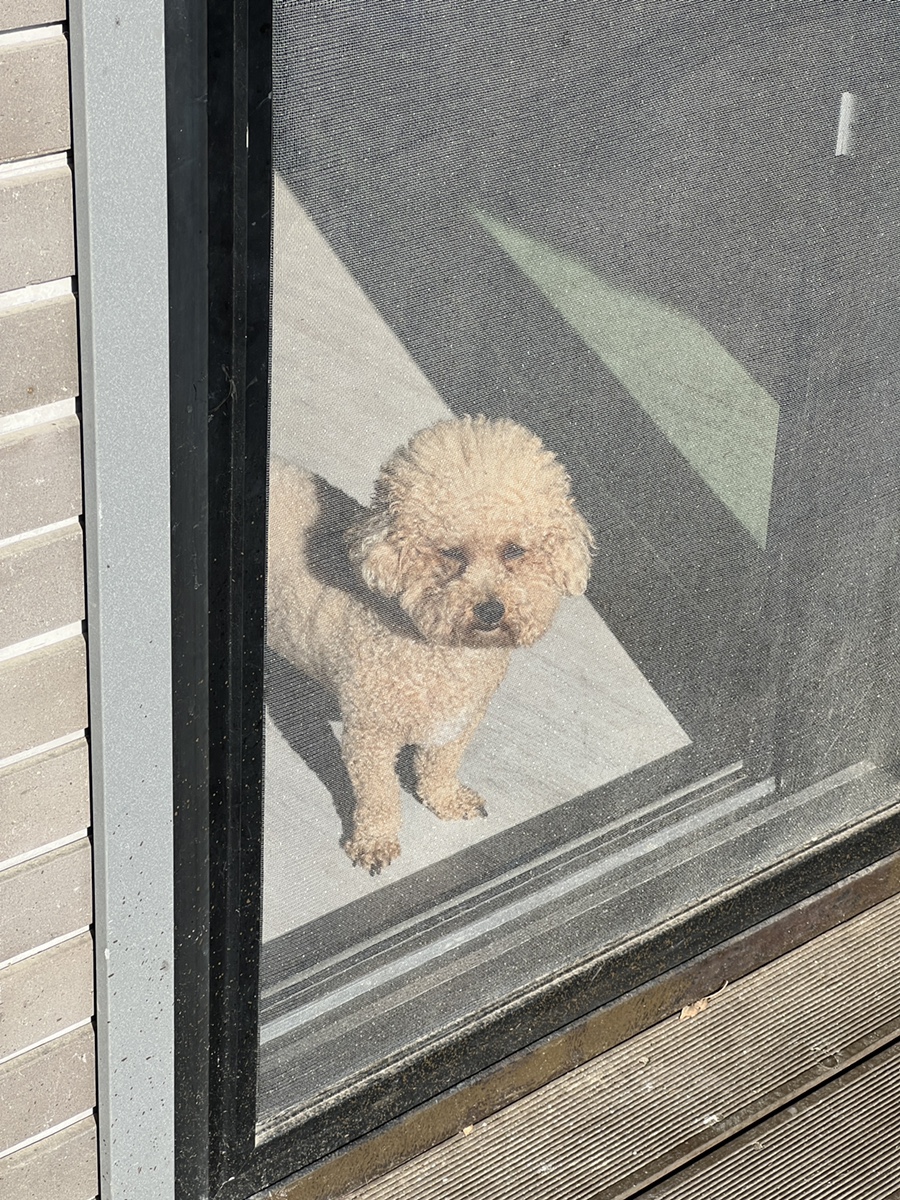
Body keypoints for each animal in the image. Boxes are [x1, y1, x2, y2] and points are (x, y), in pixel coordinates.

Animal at [264, 412, 595, 873]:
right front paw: (375, 840)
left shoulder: (459, 719)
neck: (437, 652)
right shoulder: (369, 735)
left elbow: (440, 764)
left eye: (513, 550)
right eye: (451, 552)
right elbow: (379, 795)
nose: (490, 611)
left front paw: (446, 799)